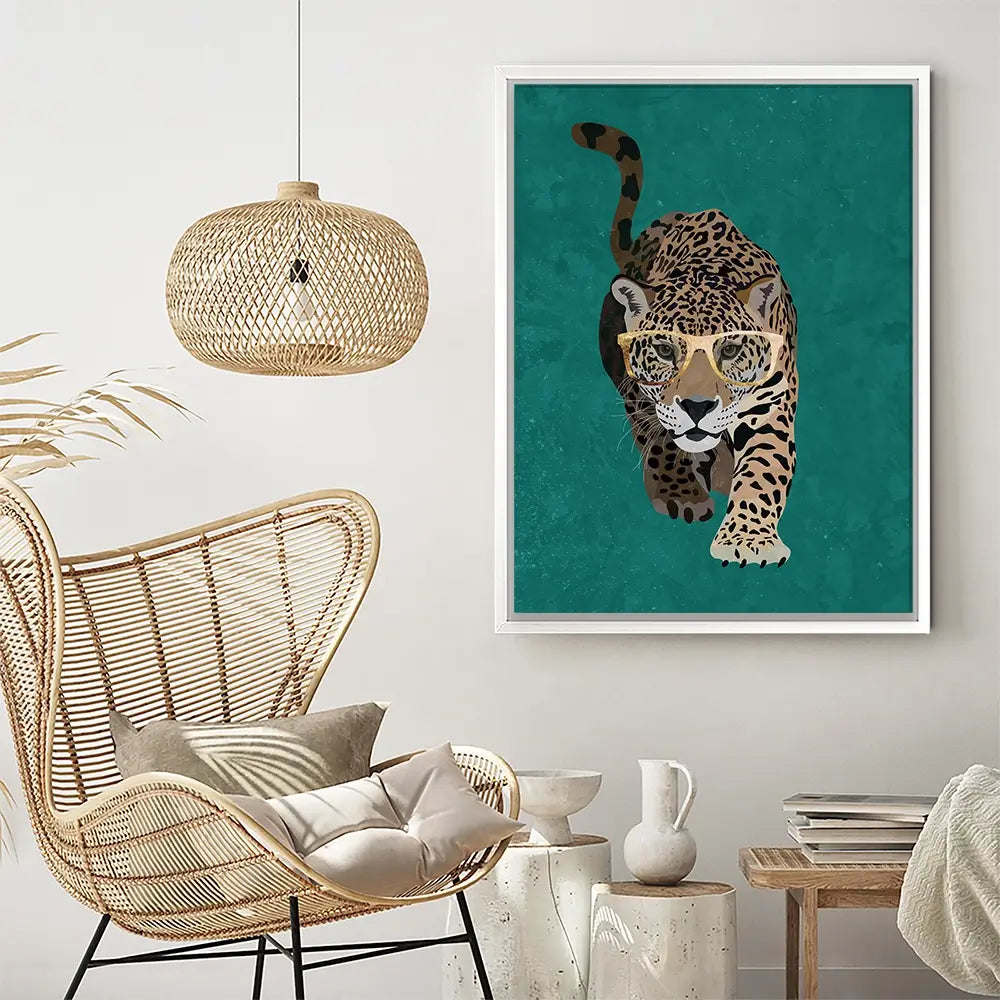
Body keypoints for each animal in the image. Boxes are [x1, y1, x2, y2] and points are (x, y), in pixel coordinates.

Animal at [572, 121, 798, 568]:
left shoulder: (770, 405)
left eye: (729, 350)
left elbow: (764, 469)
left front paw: (748, 540)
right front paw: (681, 493)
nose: (697, 407)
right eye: (664, 349)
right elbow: (661, 438)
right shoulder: (642, 391)